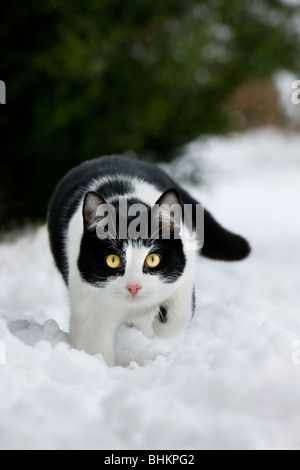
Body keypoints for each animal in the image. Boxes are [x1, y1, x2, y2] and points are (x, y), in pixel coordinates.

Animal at [48, 155, 251, 368]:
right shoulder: (88, 310)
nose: (133, 286)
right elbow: (94, 350)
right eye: (112, 260)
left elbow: (178, 314)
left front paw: (157, 323)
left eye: (153, 259)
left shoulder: (184, 274)